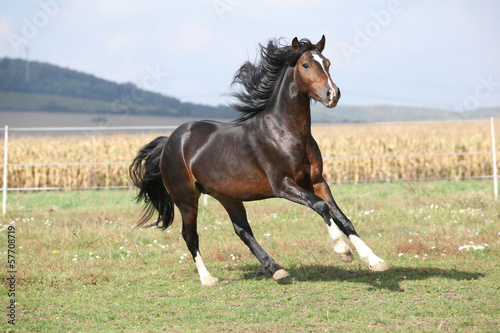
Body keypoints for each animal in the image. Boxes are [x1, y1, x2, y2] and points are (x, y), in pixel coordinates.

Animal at [130, 35, 390, 286]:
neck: (285, 132)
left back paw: (276, 270)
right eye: (306, 65)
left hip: (227, 195)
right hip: (186, 198)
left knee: (242, 230)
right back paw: (208, 279)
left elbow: (342, 217)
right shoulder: (282, 185)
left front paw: (374, 260)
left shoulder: (317, 181)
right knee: (190, 235)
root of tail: (170, 141)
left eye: (327, 63)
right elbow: (321, 206)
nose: (333, 94)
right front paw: (343, 251)